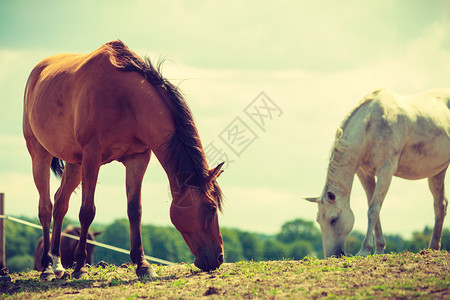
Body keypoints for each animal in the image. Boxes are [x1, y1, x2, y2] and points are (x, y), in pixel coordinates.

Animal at [23, 40, 224, 282]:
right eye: (211, 208)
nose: (219, 258)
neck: (125, 99)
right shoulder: (92, 157)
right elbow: (87, 211)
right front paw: (80, 267)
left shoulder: (138, 158)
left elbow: (134, 210)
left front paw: (143, 265)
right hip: (40, 154)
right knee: (45, 207)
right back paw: (47, 269)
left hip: (75, 164)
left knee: (60, 203)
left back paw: (57, 264)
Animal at [304, 88, 448, 258]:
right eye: (318, 221)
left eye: (334, 219)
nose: (333, 255)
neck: (370, 125)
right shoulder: (364, 174)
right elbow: (373, 207)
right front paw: (379, 249)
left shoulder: (385, 171)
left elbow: (373, 209)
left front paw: (364, 250)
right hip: (438, 171)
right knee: (440, 204)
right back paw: (433, 248)